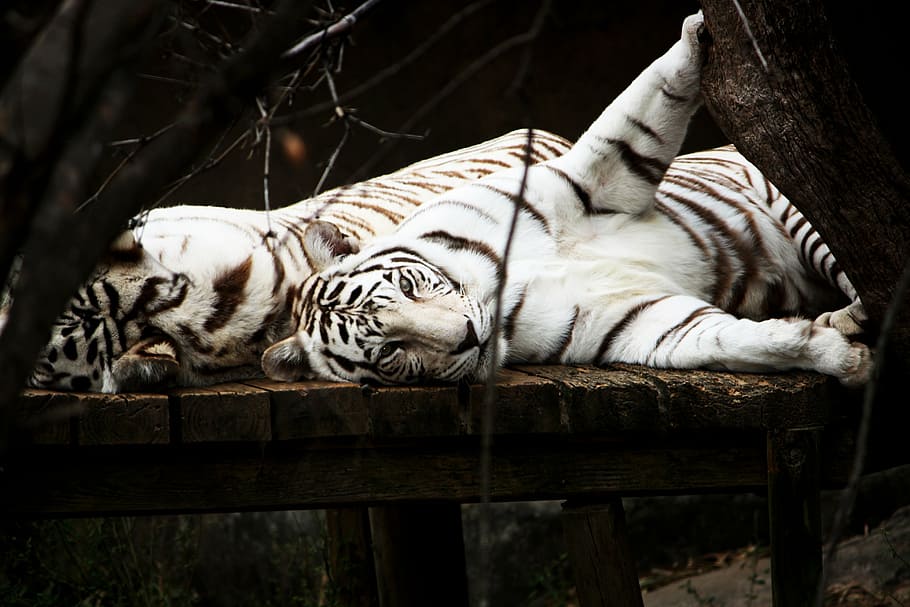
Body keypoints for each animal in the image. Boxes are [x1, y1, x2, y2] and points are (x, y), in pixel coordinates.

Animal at [260, 12, 873, 388]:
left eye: (410, 286)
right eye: (388, 350)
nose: (467, 338)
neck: (497, 287)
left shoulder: (591, 178)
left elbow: (637, 108)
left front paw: (696, 33)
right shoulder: (639, 322)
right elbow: (737, 340)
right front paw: (834, 356)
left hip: (798, 213)